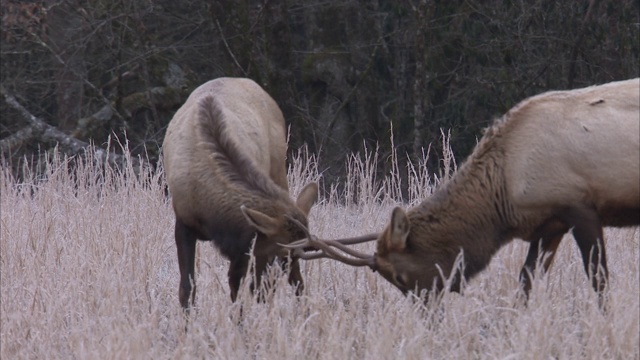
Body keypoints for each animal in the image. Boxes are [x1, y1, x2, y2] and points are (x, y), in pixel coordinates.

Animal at [162, 77, 318, 308]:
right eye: (274, 252)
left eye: (295, 254)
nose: (264, 292)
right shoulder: (184, 222)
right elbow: (187, 288)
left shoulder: (243, 244)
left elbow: (235, 290)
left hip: (279, 170)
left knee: (297, 281)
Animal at [288, 77, 640, 302]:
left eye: (400, 277)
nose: (428, 313)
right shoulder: (549, 224)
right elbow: (525, 282)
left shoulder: (581, 206)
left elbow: (598, 278)